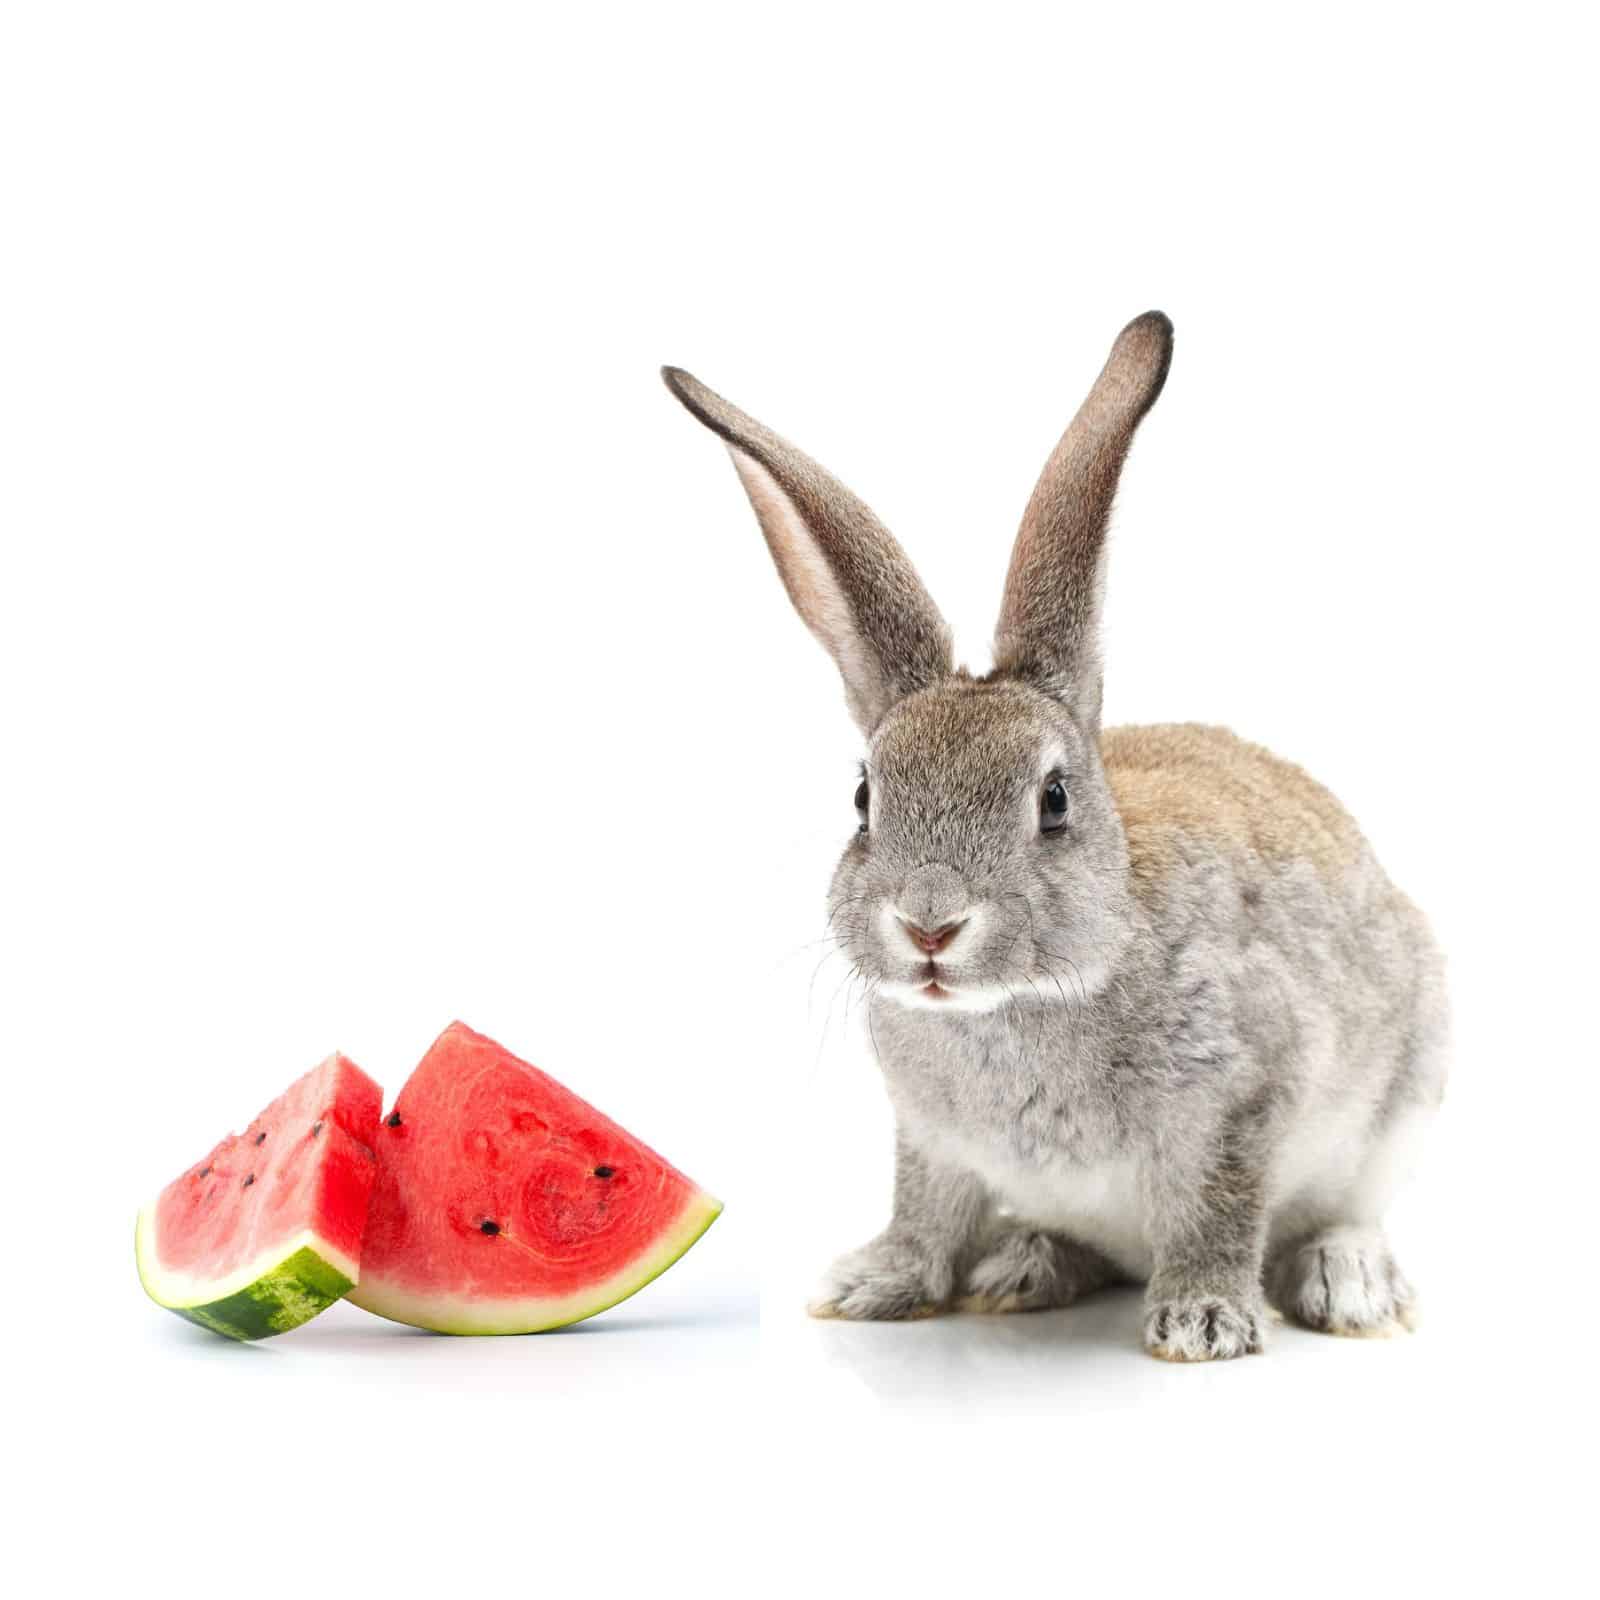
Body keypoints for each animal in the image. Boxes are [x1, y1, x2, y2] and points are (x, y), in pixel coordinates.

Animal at [662, 312, 1448, 1361]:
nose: (930, 924)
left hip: (1405, 1095)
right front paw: (872, 1284)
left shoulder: (1244, 1103)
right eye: (866, 799)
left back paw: (1347, 1283)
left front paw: (1203, 1321)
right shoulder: (931, 1141)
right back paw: (1024, 1265)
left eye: (1055, 801)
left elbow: (1220, 1213)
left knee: (1344, 1215)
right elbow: (925, 1210)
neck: (1021, 1003)